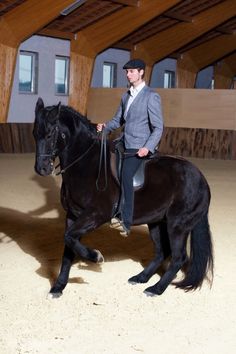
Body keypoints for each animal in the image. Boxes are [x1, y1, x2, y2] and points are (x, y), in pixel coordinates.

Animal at [33, 98, 214, 298]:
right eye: (34, 134)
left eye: (50, 134)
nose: (42, 169)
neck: (85, 164)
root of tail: (201, 179)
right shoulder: (72, 216)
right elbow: (68, 246)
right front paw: (58, 287)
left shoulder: (97, 214)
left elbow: (70, 238)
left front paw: (96, 257)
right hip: (156, 222)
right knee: (161, 252)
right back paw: (141, 278)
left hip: (178, 225)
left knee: (178, 257)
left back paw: (155, 289)